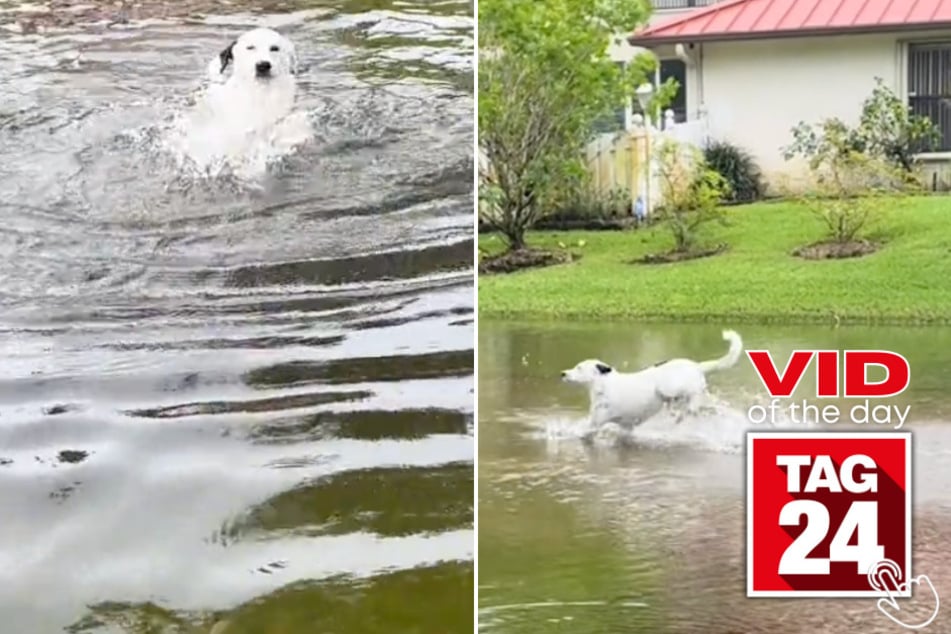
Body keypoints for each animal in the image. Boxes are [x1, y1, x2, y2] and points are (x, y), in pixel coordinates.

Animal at [560, 328, 748, 432]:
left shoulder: (595, 424)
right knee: (696, 409)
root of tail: (696, 366)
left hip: (668, 387)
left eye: (579, 367)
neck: (603, 384)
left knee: (683, 406)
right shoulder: (626, 427)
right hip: (696, 398)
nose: (562, 373)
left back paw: (676, 413)